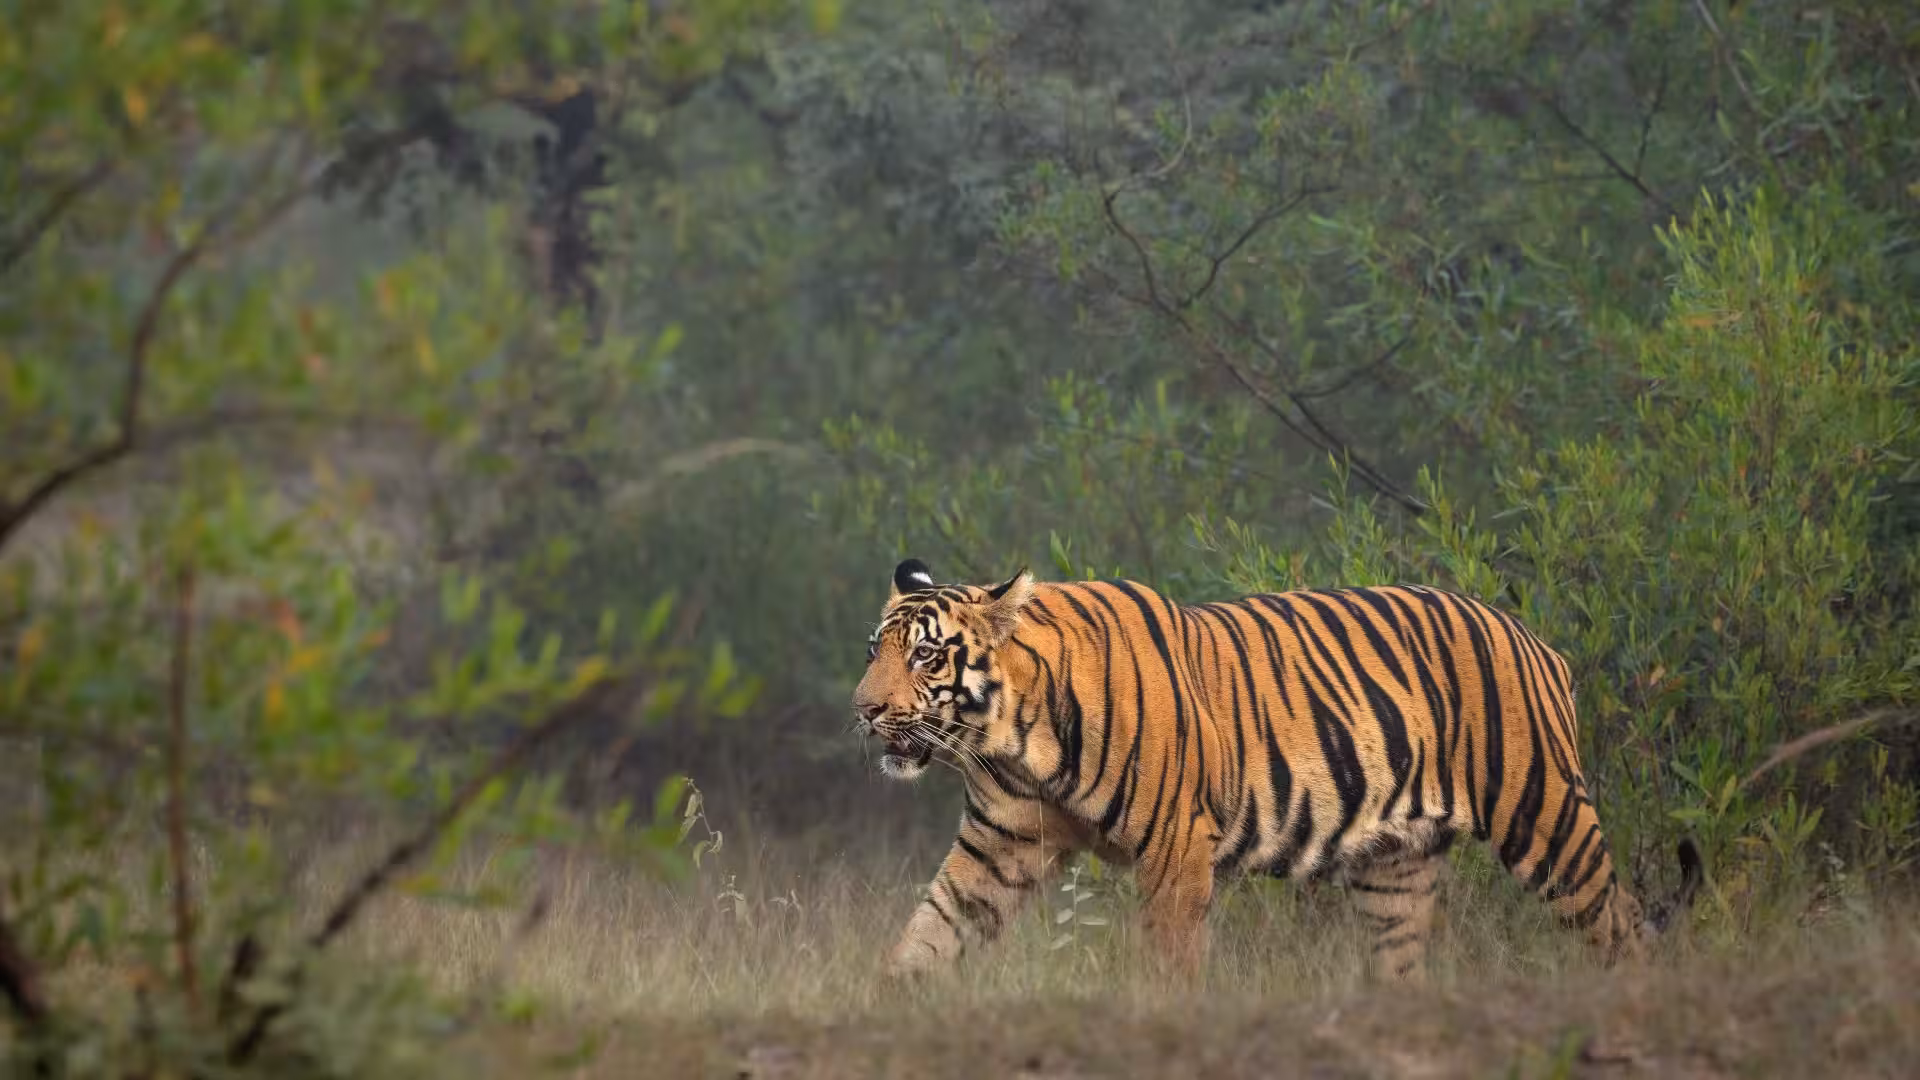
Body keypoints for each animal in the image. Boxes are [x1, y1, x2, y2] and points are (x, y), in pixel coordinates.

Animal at [851, 558, 1701, 982]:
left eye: (925, 656)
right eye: (874, 651)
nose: (862, 710)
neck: (1012, 740)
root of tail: (1531, 636)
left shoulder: (1175, 848)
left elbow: (1169, 960)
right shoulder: (998, 847)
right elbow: (928, 934)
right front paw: (892, 1010)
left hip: (1547, 817)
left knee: (1623, 928)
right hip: (1397, 868)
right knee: (1401, 966)